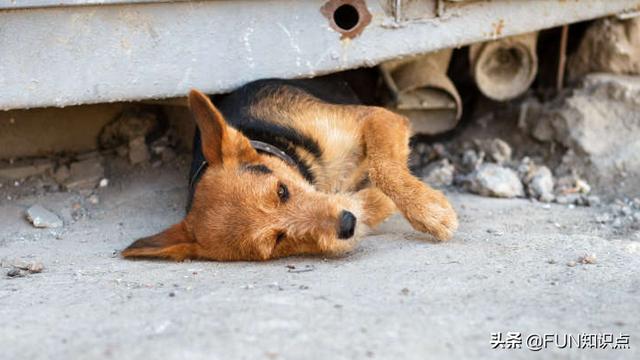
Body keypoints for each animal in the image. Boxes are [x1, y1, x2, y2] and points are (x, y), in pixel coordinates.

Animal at [122, 79, 458, 260]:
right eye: (278, 240)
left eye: (281, 191)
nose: (347, 224)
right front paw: (374, 203)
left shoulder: (378, 118)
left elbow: (383, 166)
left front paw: (428, 209)